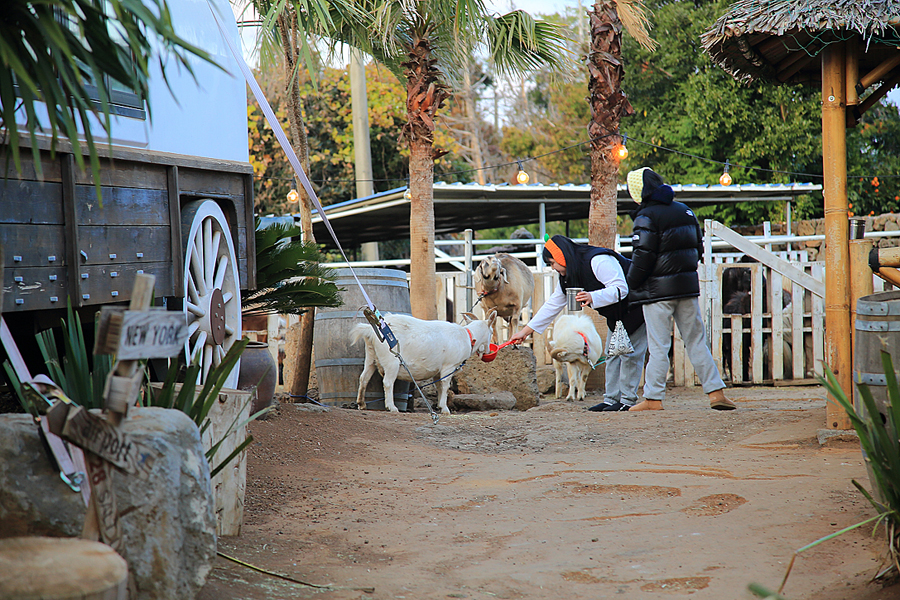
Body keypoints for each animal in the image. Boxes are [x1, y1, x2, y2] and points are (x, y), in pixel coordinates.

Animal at [350, 310, 496, 412]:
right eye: (491, 331)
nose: (489, 351)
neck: (468, 337)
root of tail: (371, 330)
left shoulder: (438, 370)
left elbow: (439, 386)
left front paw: (440, 407)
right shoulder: (449, 366)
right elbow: (445, 385)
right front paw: (445, 409)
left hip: (371, 355)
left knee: (364, 377)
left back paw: (361, 404)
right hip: (391, 359)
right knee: (387, 382)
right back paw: (392, 407)